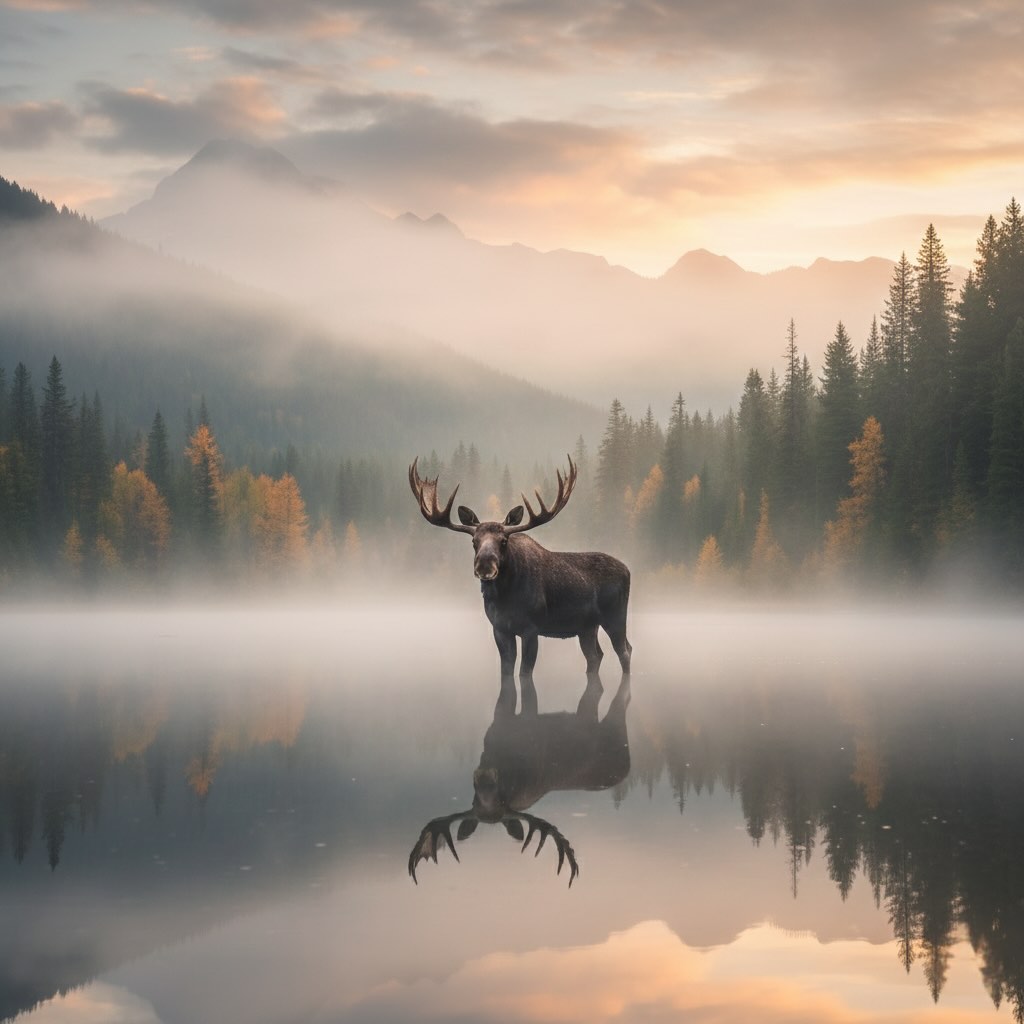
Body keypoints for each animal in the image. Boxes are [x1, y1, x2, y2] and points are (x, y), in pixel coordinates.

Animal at [408, 456, 632, 682]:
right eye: (474, 541)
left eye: (504, 540)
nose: (485, 566)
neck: (504, 597)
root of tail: (628, 570)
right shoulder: (500, 629)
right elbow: (506, 671)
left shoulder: (531, 629)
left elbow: (525, 672)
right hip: (586, 627)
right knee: (596, 655)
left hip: (615, 617)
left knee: (624, 650)